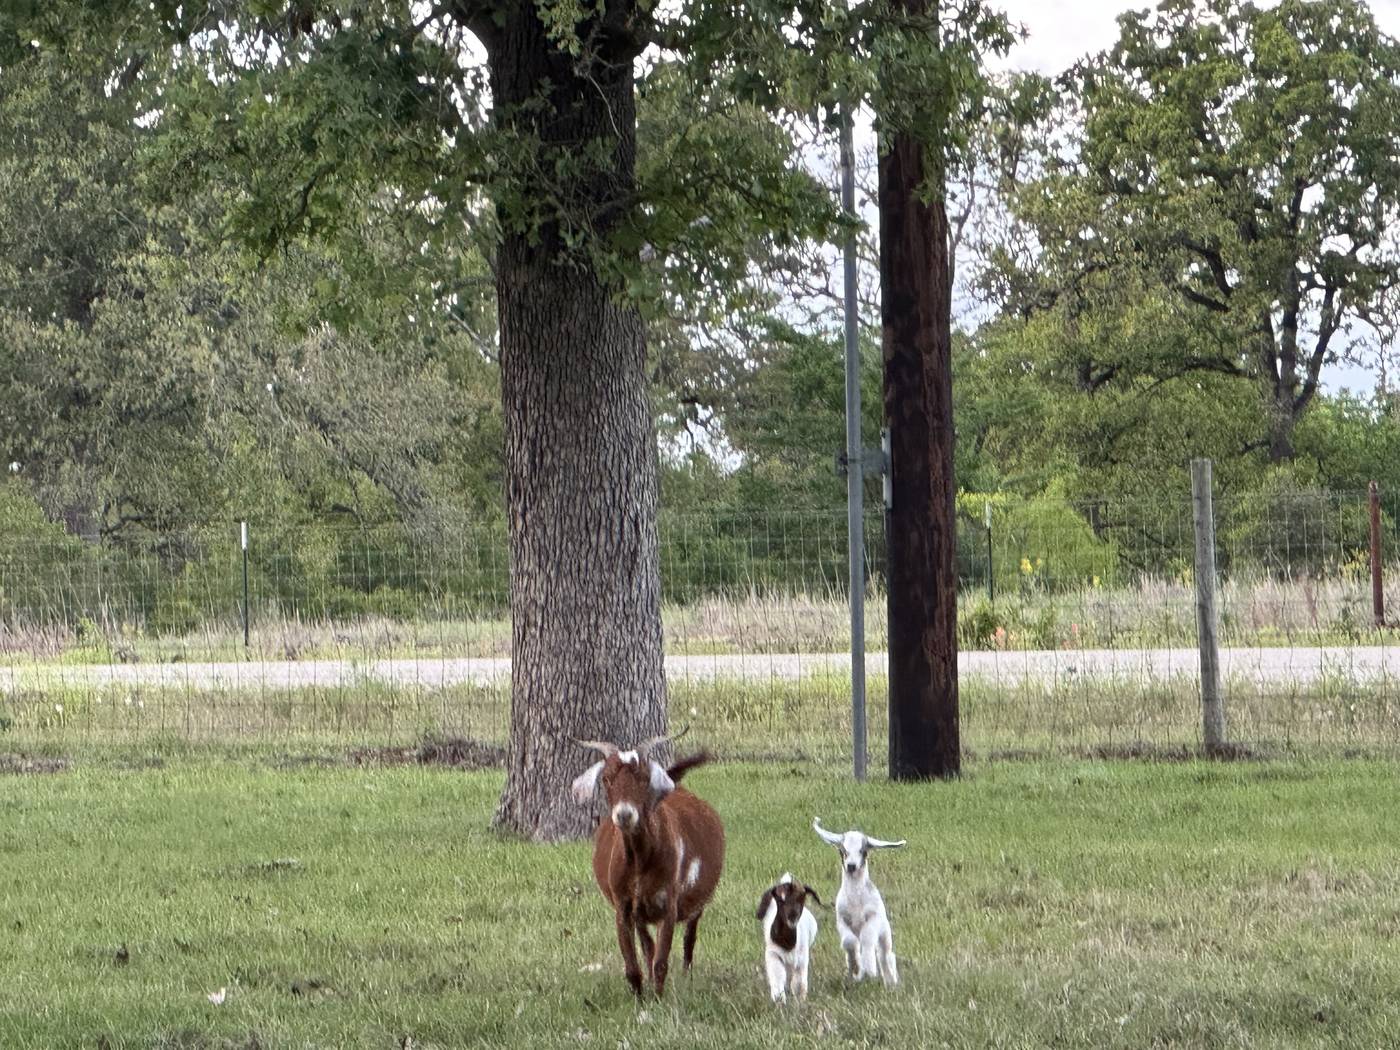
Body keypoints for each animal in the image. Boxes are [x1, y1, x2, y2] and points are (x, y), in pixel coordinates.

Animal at [572, 734, 724, 997]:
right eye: (606, 779)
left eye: (643, 778)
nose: (625, 815)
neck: (639, 862)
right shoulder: (624, 907)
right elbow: (634, 963)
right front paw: (640, 998)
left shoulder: (668, 905)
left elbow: (662, 960)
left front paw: (658, 997)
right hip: (640, 912)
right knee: (648, 946)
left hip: (698, 900)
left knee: (690, 937)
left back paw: (686, 978)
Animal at [755, 873, 821, 1003]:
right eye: (779, 899)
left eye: (802, 898)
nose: (792, 916)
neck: (787, 943)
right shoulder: (773, 955)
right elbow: (778, 978)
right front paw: (779, 1000)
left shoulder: (801, 958)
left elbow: (798, 984)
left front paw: (800, 1001)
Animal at [812, 817, 905, 985]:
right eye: (843, 851)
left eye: (863, 851)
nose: (851, 866)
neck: (855, 901)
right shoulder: (842, 920)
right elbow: (849, 942)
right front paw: (856, 969)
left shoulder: (873, 918)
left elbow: (867, 938)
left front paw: (870, 968)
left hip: (884, 932)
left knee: (885, 954)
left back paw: (890, 980)